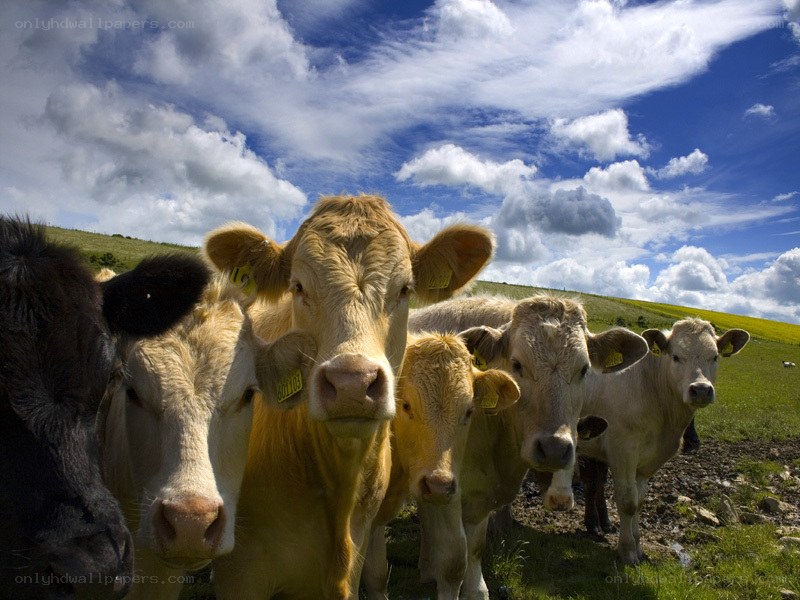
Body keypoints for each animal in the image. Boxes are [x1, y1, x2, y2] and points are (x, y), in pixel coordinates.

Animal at [407, 294, 647, 599]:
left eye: (584, 369)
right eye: (517, 364)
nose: (554, 448)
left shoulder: (479, 493)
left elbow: (475, 548)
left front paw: (475, 589)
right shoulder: (444, 487)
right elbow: (453, 560)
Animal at [578, 318, 750, 565]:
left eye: (715, 356)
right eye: (676, 356)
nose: (701, 390)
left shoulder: (647, 462)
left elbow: (639, 501)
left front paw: (638, 547)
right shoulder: (622, 451)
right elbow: (628, 501)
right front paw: (627, 551)